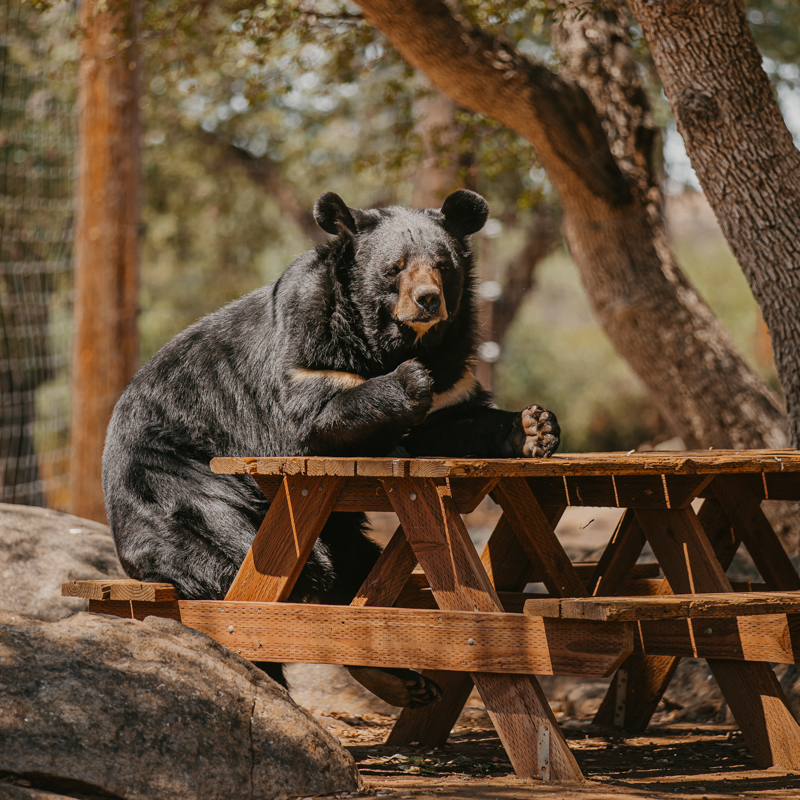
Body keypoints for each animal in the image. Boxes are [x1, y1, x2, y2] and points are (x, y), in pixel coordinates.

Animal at [100, 192, 560, 708]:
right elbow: (316, 412)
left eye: (444, 266)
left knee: (355, 568)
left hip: (328, 525)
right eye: (394, 268)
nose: (428, 300)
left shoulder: (452, 371)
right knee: (260, 565)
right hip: (181, 486)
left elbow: (452, 421)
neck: (393, 342)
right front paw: (408, 382)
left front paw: (535, 428)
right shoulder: (308, 343)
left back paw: (401, 680)